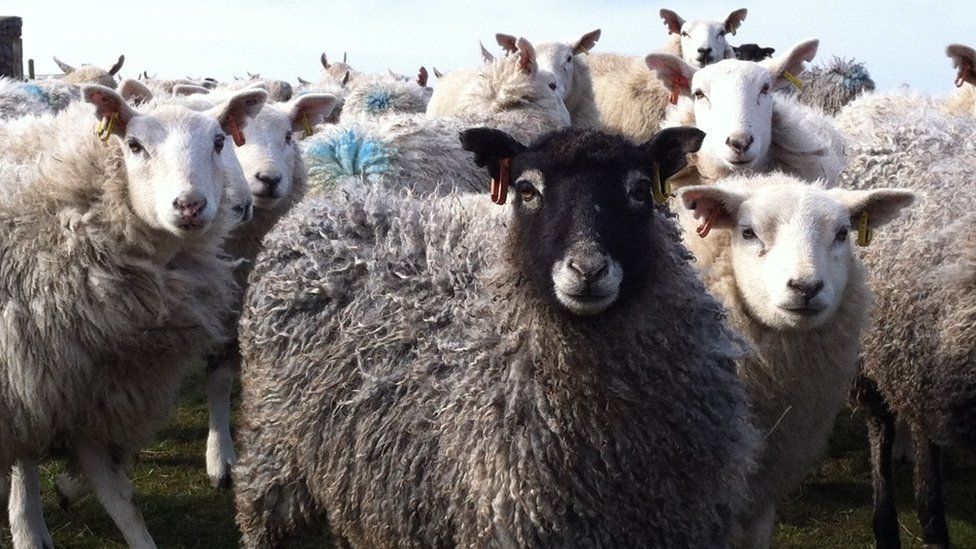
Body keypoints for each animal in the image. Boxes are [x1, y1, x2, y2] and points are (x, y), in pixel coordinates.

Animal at [0, 84, 267, 548]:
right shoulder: (26, 381)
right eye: (135, 145)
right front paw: (29, 527)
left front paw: (70, 490)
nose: (190, 205)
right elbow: (27, 460)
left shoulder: (94, 386)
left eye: (219, 141)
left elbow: (118, 494)